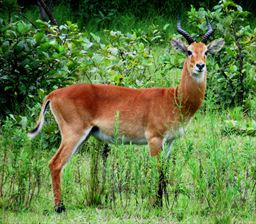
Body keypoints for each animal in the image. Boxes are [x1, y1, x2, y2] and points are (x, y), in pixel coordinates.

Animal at [28, 18, 224, 213]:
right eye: (189, 51)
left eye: (206, 51)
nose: (200, 65)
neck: (174, 99)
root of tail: (53, 94)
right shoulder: (154, 139)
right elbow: (158, 171)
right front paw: (156, 204)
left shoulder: (169, 142)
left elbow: (165, 171)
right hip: (73, 134)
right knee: (55, 163)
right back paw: (59, 207)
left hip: (83, 137)